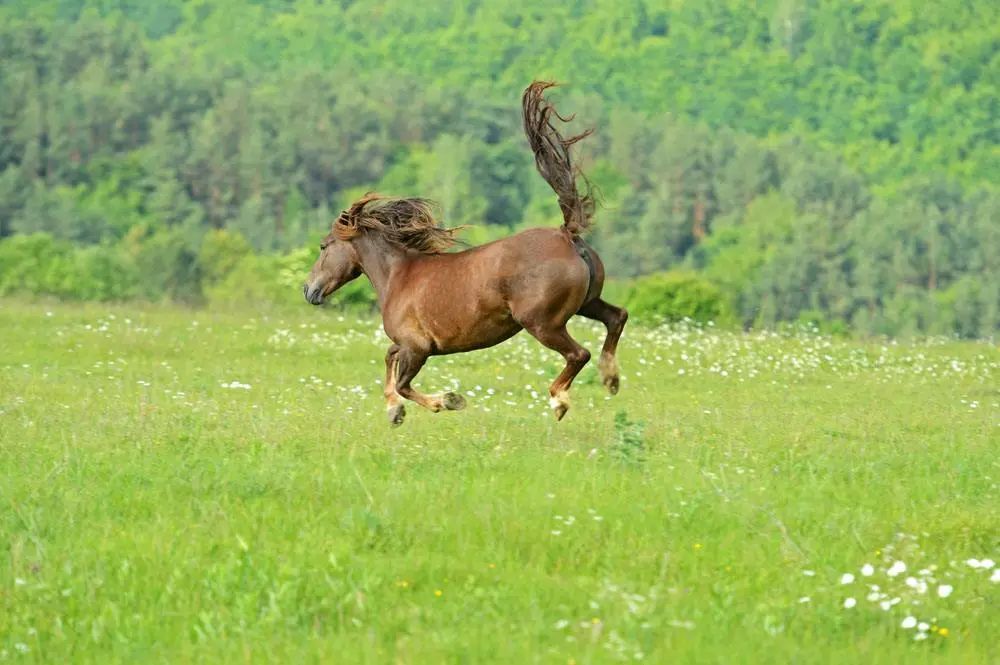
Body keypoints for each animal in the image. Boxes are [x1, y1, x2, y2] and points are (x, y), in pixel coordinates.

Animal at [304, 81, 628, 426]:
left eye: (323, 246)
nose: (308, 290)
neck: (397, 277)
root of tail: (566, 235)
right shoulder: (407, 345)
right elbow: (389, 358)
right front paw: (394, 410)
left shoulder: (417, 347)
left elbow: (404, 382)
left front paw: (447, 401)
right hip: (586, 303)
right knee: (616, 317)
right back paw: (610, 378)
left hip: (542, 323)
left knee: (579, 353)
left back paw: (559, 400)